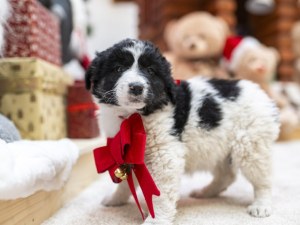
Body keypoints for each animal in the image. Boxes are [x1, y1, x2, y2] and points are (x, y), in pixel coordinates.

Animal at [85, 39, 280, 225]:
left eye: (150, 70)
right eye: (118, 69)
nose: (136, 87)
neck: (133, 116)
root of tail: (264, 96)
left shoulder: (164, 156)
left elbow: (160, 194)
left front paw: (156, 220)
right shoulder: (125, 150)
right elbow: (126, 180)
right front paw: (116, 199)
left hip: (251, 145)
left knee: (262, 179)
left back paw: (261, 205)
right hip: (219, 148)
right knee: (226, 175)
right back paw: (206, 192)